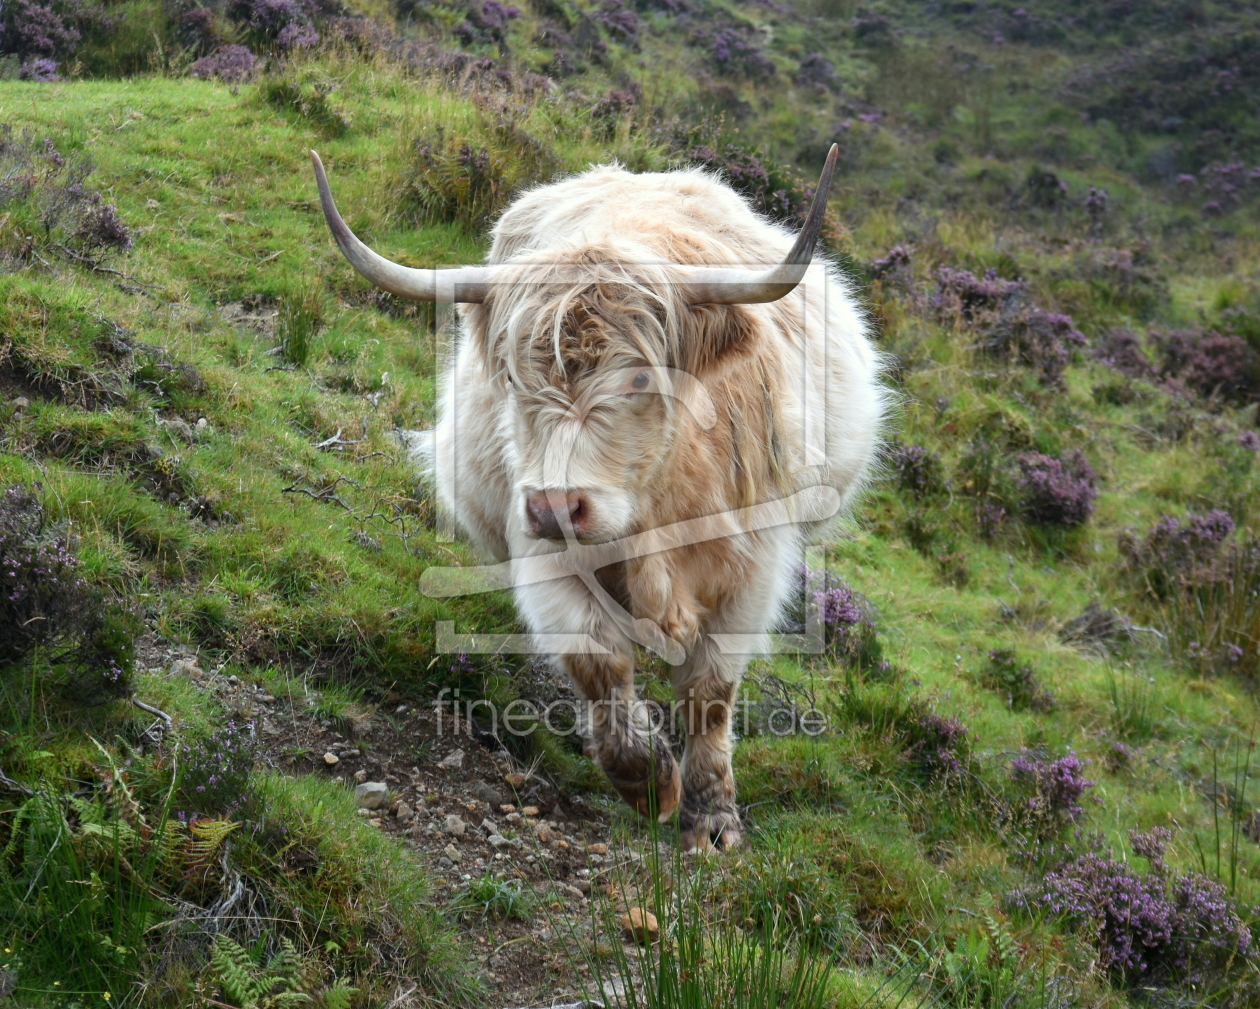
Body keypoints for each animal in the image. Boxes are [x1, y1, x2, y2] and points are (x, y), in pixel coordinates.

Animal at [312, 145, 887, 846]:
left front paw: (711, 817)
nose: (558, 506)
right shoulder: (541, 549)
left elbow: (711, 689)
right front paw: (648, 781)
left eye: (641, 378)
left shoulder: (755, 564)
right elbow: (596, 659)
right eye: (512, 377)